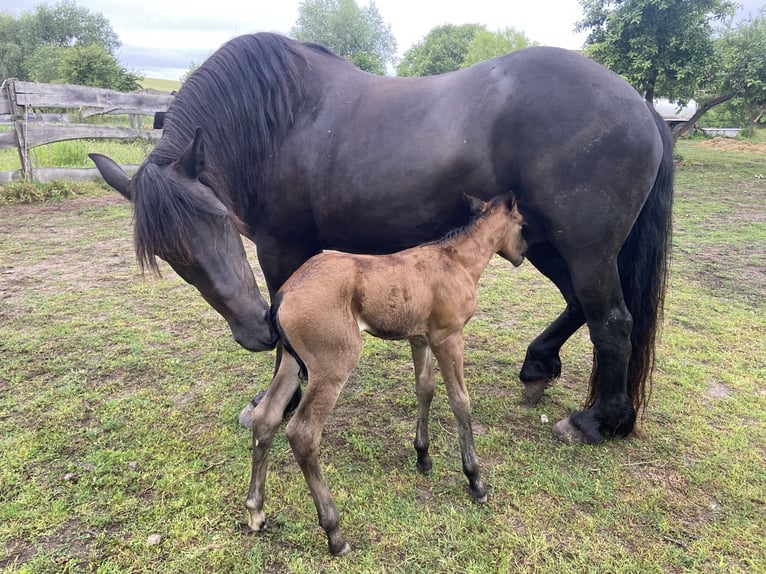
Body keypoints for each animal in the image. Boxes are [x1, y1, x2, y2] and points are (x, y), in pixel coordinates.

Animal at [93, 30, 676, 446]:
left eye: (219, 220)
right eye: (170, 255)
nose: (252, 333)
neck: (278, 120)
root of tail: (639, 104)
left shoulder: (283, 248)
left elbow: (288, 326)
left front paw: (279, 399)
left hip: (583, 247)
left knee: (612, 321)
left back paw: (596, 422)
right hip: (546, 245)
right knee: (581, 306)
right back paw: (539, 369)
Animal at [246, 195, 528, 560]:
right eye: (522, 224)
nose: (523, 253)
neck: (456, 262)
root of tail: (286, 291)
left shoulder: (420, 338)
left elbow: (425, 389)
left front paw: (423, 457)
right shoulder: (448, 337)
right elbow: (460, 401)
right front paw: (475, 479)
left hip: (292, 363)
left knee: (266, 418)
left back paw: (256, 511)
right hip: (333, 364)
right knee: (303, 433)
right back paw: (334, 533)